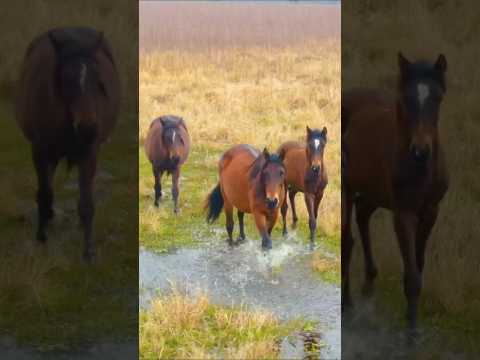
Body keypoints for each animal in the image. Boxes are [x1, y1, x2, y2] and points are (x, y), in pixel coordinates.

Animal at [16, 26, 122, 262]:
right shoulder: (39, 149)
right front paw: (41, 237)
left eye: (97, 77)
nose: (88, 128)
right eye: (66, 78)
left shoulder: (89, 152)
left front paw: (88, 251)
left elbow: (87, 203)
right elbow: (44, 192)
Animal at [342, 52, 450, 330]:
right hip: (348, 190)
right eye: (406, 99)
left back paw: (369, 280)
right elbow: (412, 274)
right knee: (347, 240)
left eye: (437, 98)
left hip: (373, 192)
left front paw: (411, 316)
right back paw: (347, 301)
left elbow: (418, 265)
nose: (421, 150)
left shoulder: (431, 211)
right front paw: (412, 330)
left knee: (363, 215)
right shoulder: (403, 213)